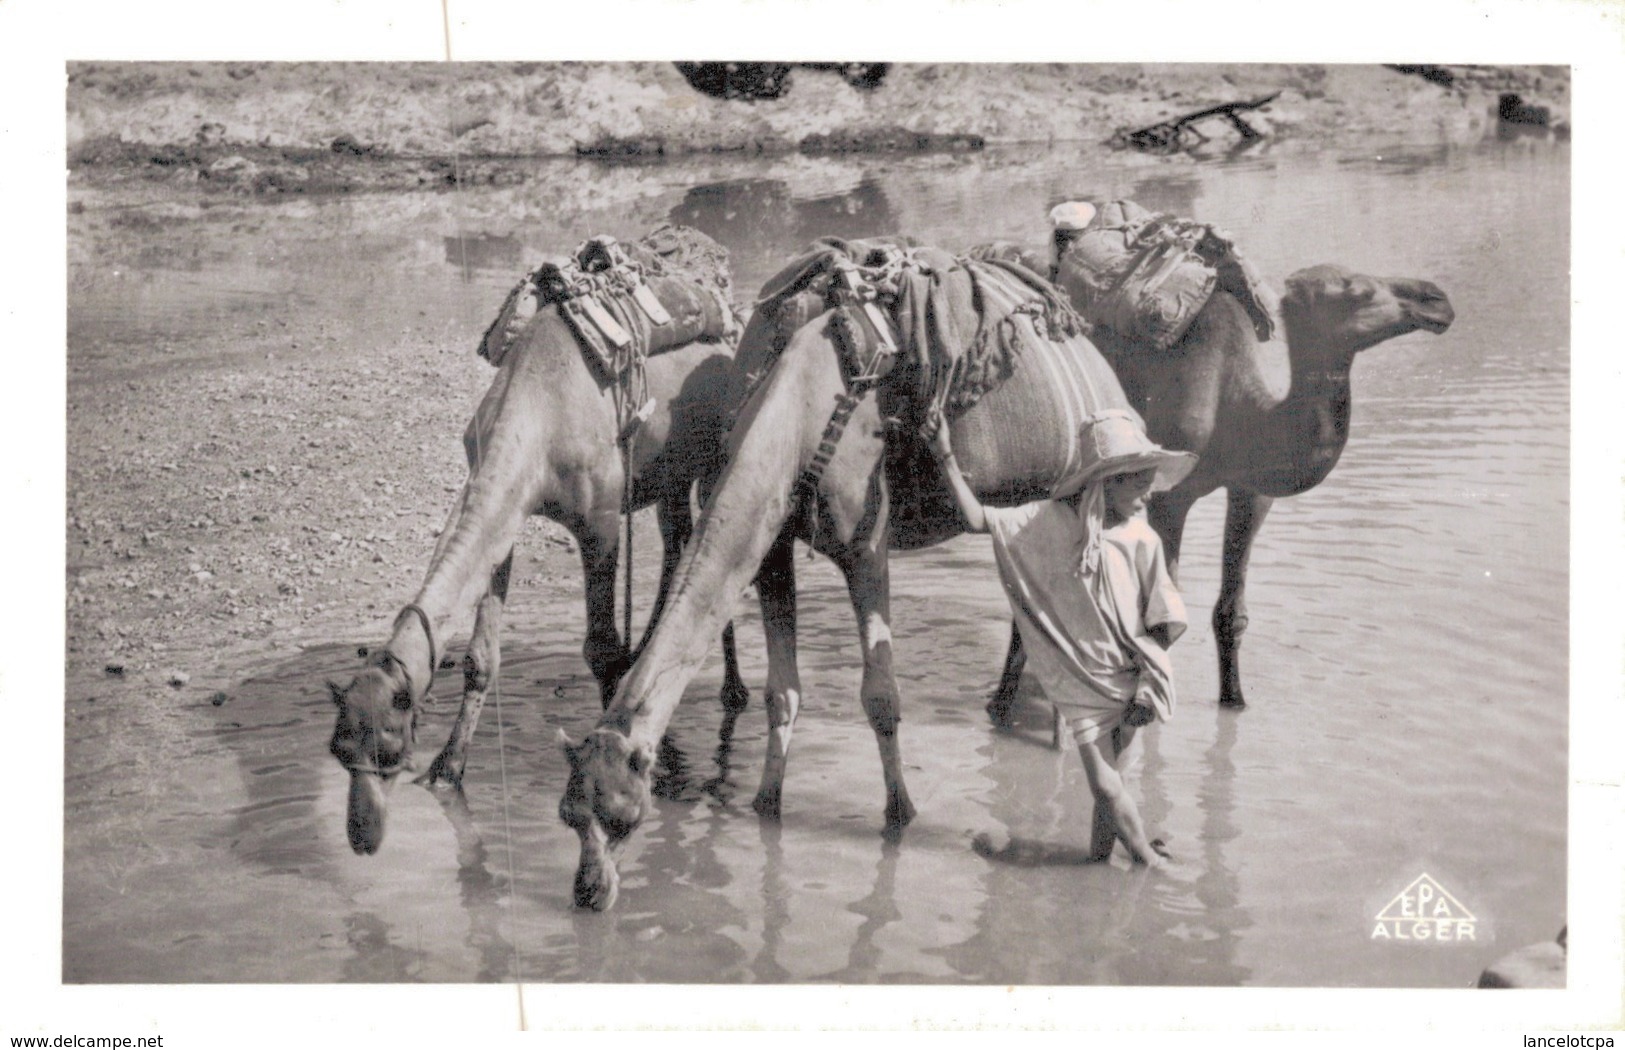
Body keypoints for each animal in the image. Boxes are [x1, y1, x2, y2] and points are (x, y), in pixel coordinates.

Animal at [325, 227, 754, 858]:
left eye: (390, 746)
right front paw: (447, 771)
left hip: (718, 449)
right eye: (339, 750)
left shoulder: (600, 521)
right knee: (678, 542)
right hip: (670, 471)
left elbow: (601, 649)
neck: (536, 409)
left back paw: (734, 693)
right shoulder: (506, 514)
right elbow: (480, 657)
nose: (362, 836)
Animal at [981, 209, 1456, 728]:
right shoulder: (1169, 493)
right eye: (1357, 290)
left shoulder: (1252, 491)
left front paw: (1235, 704)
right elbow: (1163, 615)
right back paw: (1004, 705)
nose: (1437, 299)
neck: (1239, 409)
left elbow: (1232, 612)